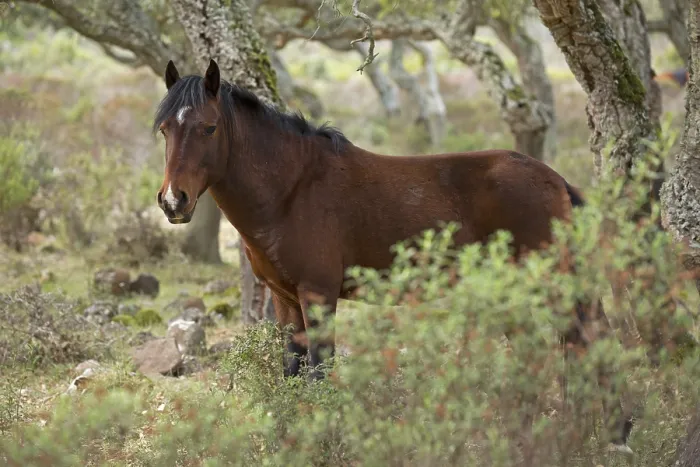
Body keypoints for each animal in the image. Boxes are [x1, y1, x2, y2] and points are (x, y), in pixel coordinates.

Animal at [152, 58, 634, 453]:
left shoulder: (318, 295)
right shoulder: (284, 298)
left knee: (591, 340)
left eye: (209, 128)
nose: (174, 201)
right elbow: (292, 369)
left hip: (554, 281)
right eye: (164, 130)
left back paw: (614, 435)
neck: (291, 188)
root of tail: (555, 179)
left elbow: (320, 371)